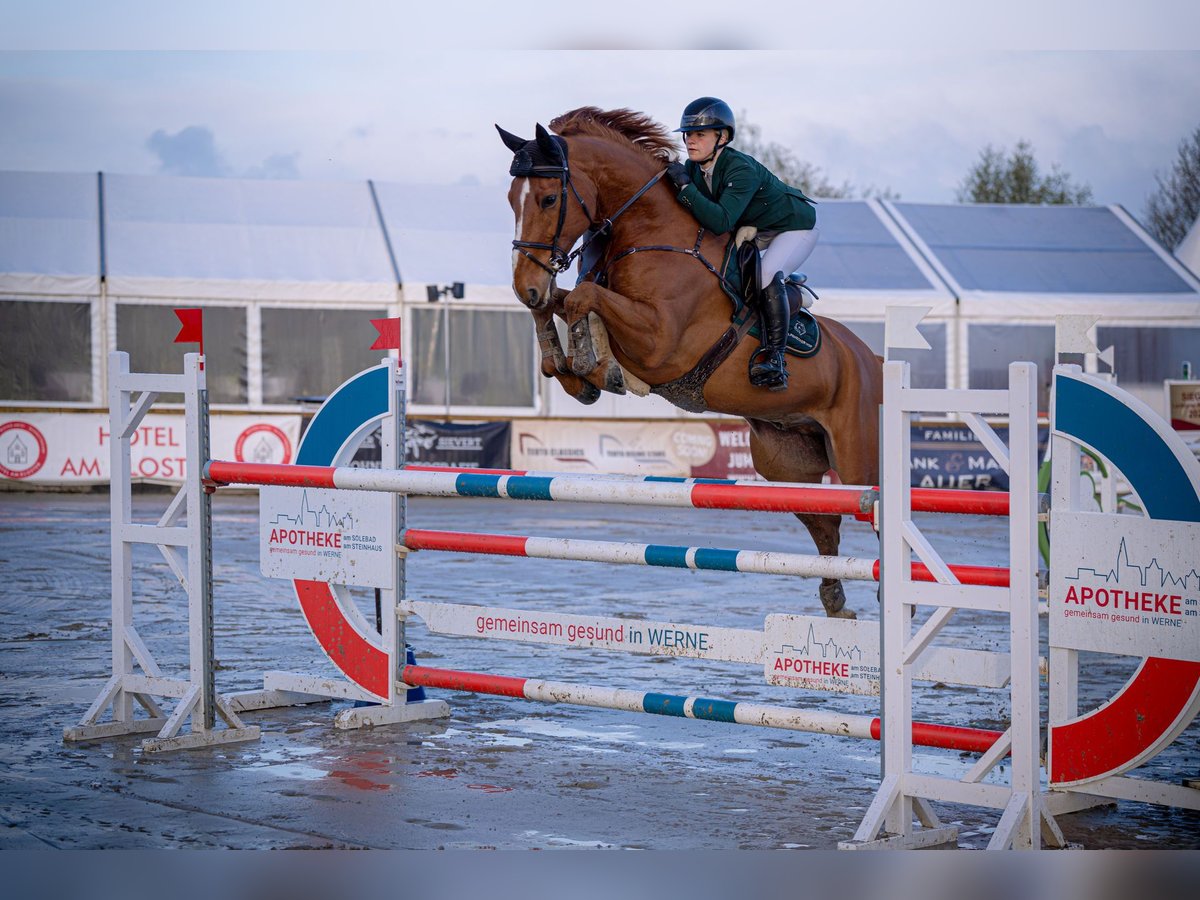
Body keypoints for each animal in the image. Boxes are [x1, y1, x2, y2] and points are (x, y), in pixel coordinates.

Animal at [496, 103, 883, 614]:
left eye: (546, 199)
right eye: (510, 200)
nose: (524, 286)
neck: (652, 231)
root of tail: (875, 360)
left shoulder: (662, 344)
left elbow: (584, 298)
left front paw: (596, 369)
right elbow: (565, 301)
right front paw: (570, 370)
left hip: (860, 459)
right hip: (787, 463)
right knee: (826, 524)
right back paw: (835, 599)